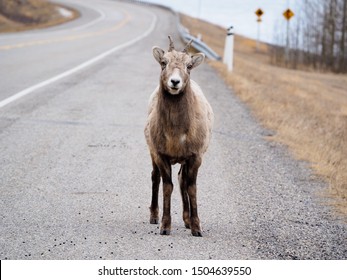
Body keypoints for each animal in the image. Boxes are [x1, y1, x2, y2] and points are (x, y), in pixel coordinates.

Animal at [145, 35, 215, 236]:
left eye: (189, 66)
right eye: (163, 62)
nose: (174, 82)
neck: (176, 134)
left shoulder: (195, 157)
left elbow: (191, 188)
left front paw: (196, 228)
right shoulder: (161, 156)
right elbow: (167, 187)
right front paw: (164, 227)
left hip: (184, 161)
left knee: (182, 180)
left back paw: (186, 221)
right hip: (153, 155)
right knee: (155, 177)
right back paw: (154, 217)